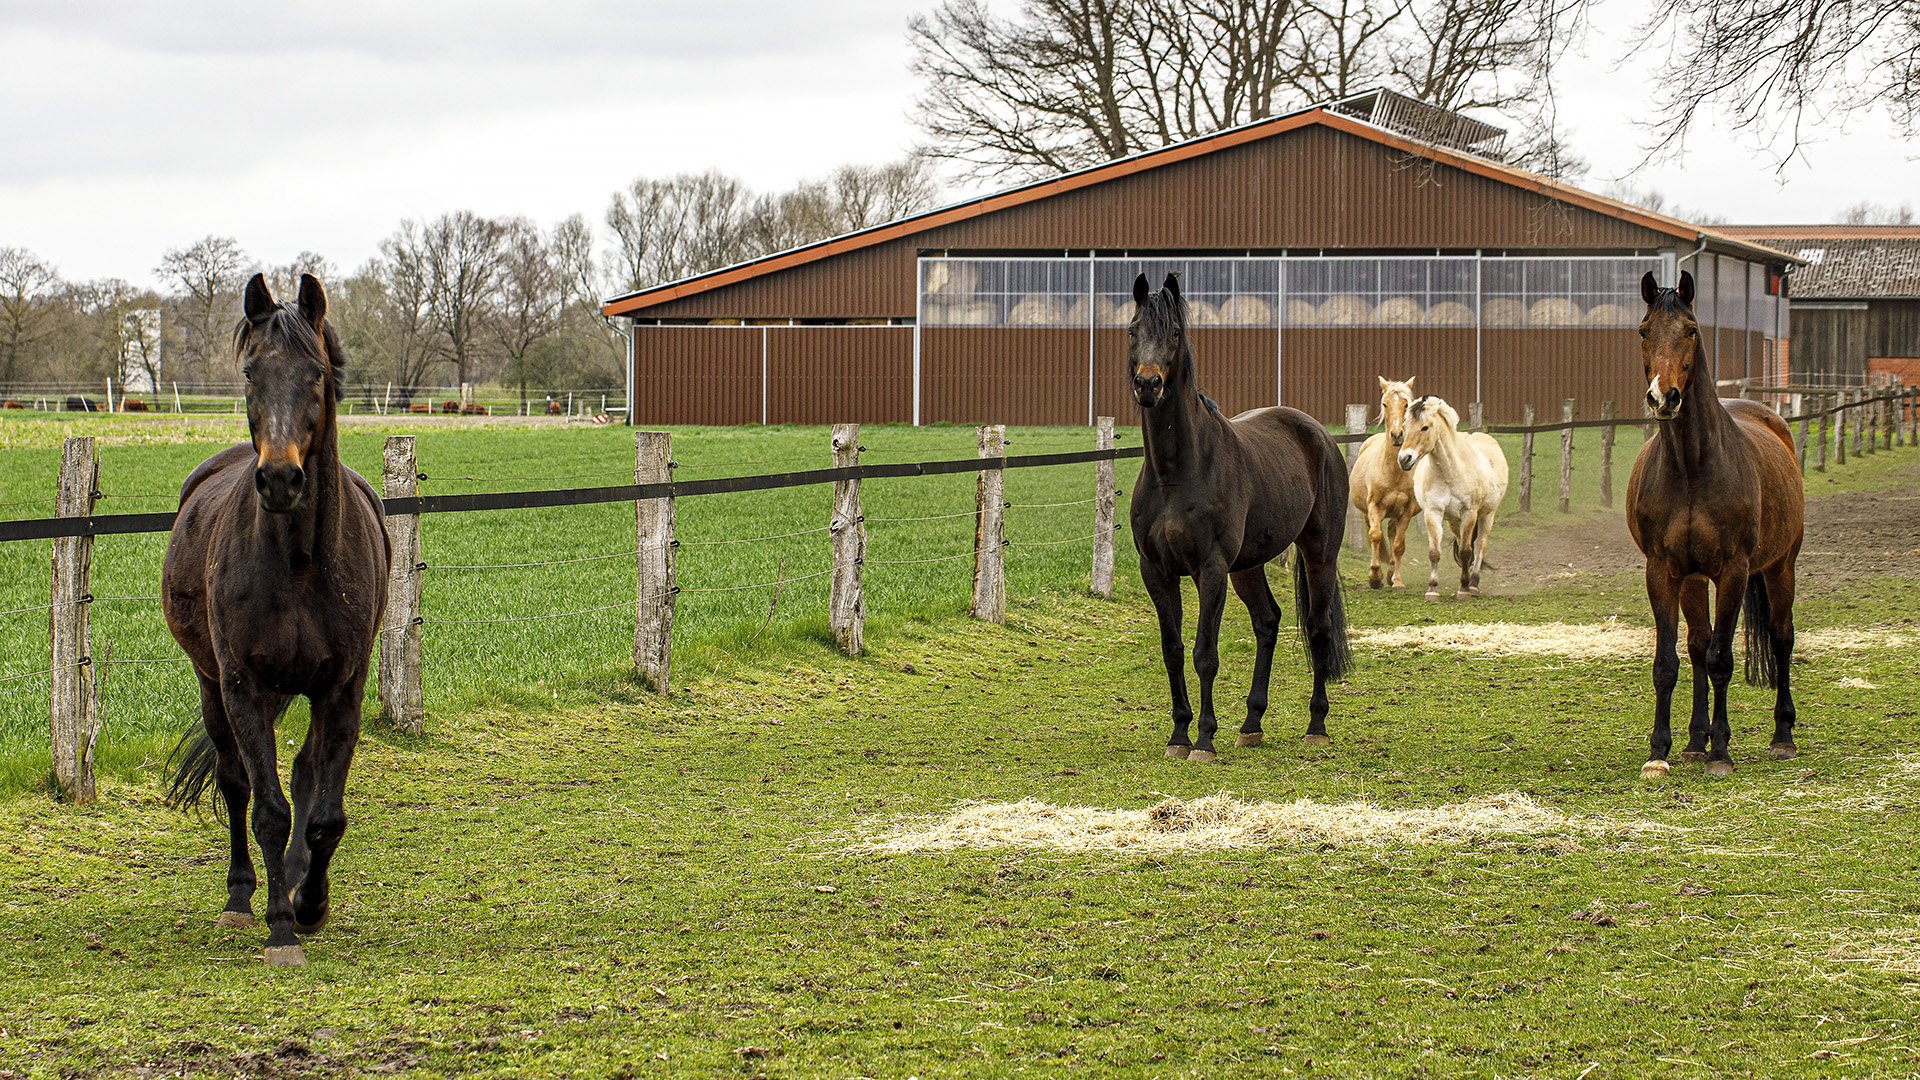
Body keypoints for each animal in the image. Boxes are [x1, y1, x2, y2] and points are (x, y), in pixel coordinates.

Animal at [165, 272, 389, 960]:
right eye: (249, 372)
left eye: (315, 373)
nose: (281, 479)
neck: (298, 562)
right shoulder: (246, 685)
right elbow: (266, 808)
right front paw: (281, 927)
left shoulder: (341, 689)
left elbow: (324, 815)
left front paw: (311, 904)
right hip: (210, 683)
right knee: (236, 784)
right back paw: (242, 899)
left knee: (305, 774)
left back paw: (291, 880)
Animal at [1121, 272, 1351, 760]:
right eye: (1132, 330)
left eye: (1174, 332)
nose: (1148, 384)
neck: (1176, 474)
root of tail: (1318, 433)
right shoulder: (1157, 572)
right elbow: (1173, 650)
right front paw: (1179, 735)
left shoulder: (1210, 570)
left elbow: (1205, 653)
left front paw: (1204, 740)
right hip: (1248, 566)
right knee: (1267, 622)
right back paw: (1251, 724)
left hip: (1319, 553)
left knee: (1319, 628)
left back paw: (1316, 726)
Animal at [1351, 372, 1428, 588]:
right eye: (1385, 404)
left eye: (1406, 404)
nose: (1397, 434)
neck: (1393, 471)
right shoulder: (1374, 506)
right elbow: (1375, 536)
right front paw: (1374, 577)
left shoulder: (1407, 509)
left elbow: (1399, 545)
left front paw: (1397, 581)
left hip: (1396, 512)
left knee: (1393, 533)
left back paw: (1392, 572)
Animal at [1405, 395, 1505, 595]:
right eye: (1404, 427)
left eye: (1424, 427)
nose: (1404, 458)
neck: (1450, 472)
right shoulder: (1433, 513)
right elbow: (1435, 552)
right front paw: (1432, 589)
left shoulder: (1469, 513)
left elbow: (1466, 551)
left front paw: (1464, 589)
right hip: (1454, 521)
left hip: (1487, 515)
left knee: (1480, 545)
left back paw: (1473, 583)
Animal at [1620, 269, 1797, 772]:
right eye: (1643, 331)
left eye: (1692, 330)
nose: (1664, 397)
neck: (1692, 467)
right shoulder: (1663, 570)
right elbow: (1669, 661)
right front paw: (1659, 751)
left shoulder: (1734, 570)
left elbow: (1722, 658)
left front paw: (1721, 751)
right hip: (1694, 578)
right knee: (1698, 645)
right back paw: (1694, 741)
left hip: (1781, 566)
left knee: (1781, 637)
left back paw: (1781, 736)